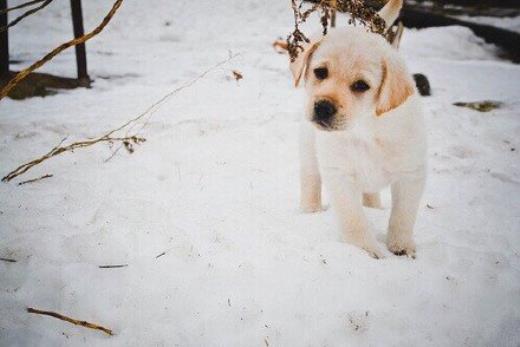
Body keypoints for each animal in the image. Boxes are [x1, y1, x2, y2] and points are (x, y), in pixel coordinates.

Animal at [294, 0, 424, 258]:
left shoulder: (411, 175)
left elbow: (403, 216)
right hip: (308, 147)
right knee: (310, 178)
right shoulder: (339, 175)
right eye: (320, 72)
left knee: (371, 194)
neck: (366, 130)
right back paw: (310, 210)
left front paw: (401, 246)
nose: (323, 107)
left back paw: (374, 206)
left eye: (361, 86)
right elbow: (353, 219)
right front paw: (366, 250)